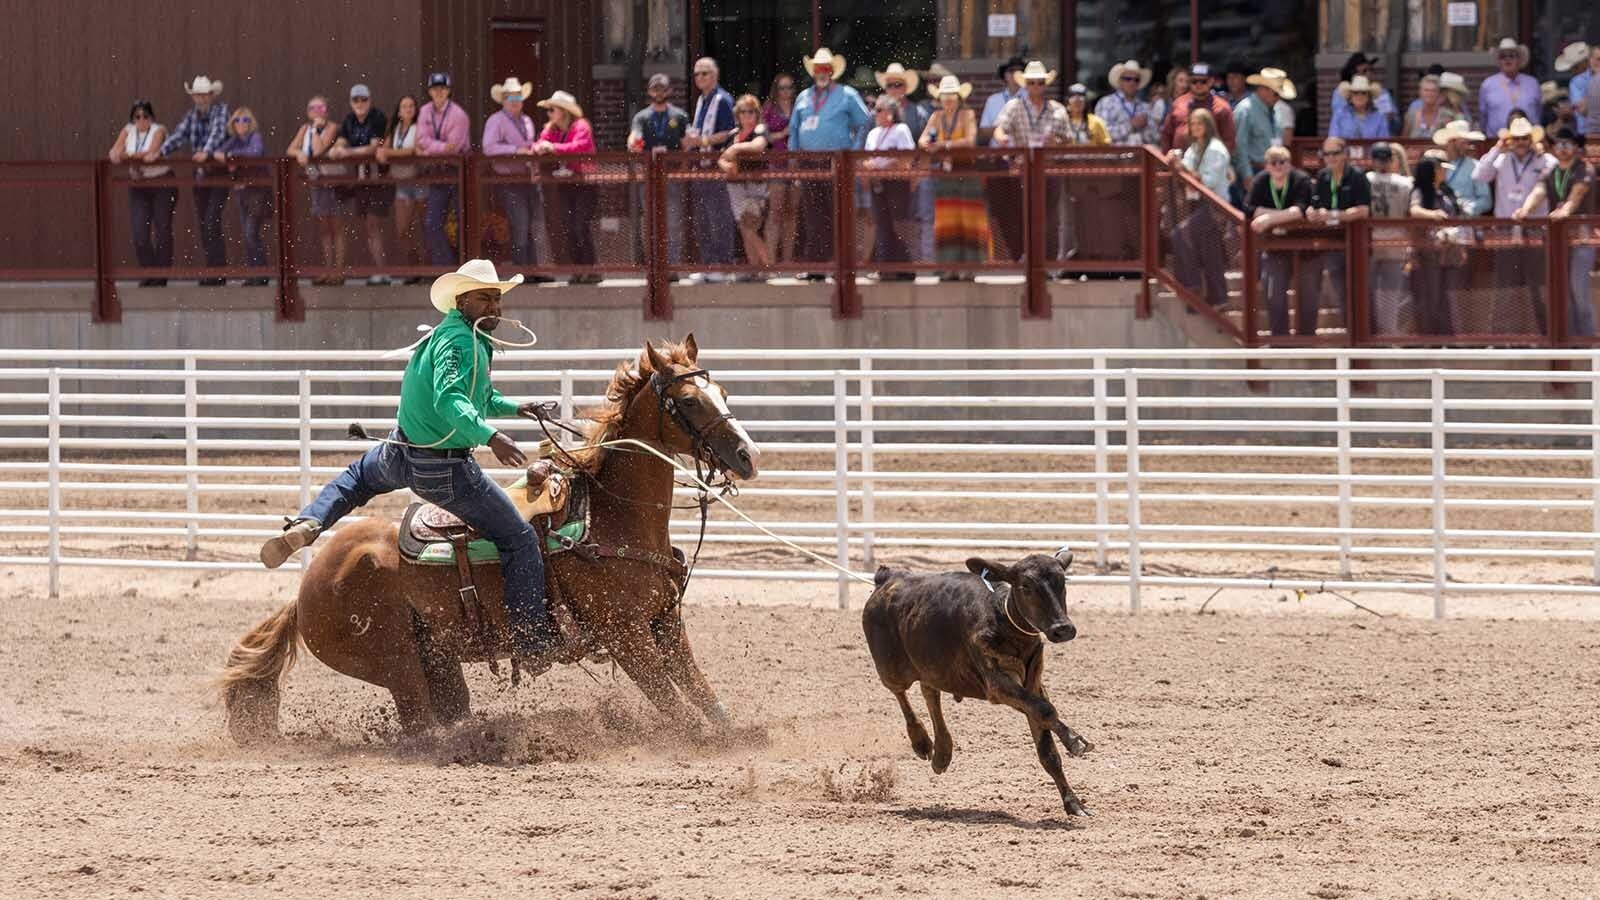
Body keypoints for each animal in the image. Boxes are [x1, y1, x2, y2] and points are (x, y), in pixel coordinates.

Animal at [861, 549, 1094, 817]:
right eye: (1026, 586)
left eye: (1062, 581)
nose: (1062, 628)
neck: (1002, 619)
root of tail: (888, 578)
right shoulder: (998, 685)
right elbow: (1046, 710)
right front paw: (1075, 740)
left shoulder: (1033, 685)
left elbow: (1048, 749)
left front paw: (1074, 803)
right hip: (890, 668)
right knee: (900, 693)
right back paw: (921, 741)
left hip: (933, 665)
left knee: (929, 690)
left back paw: (942, 752)